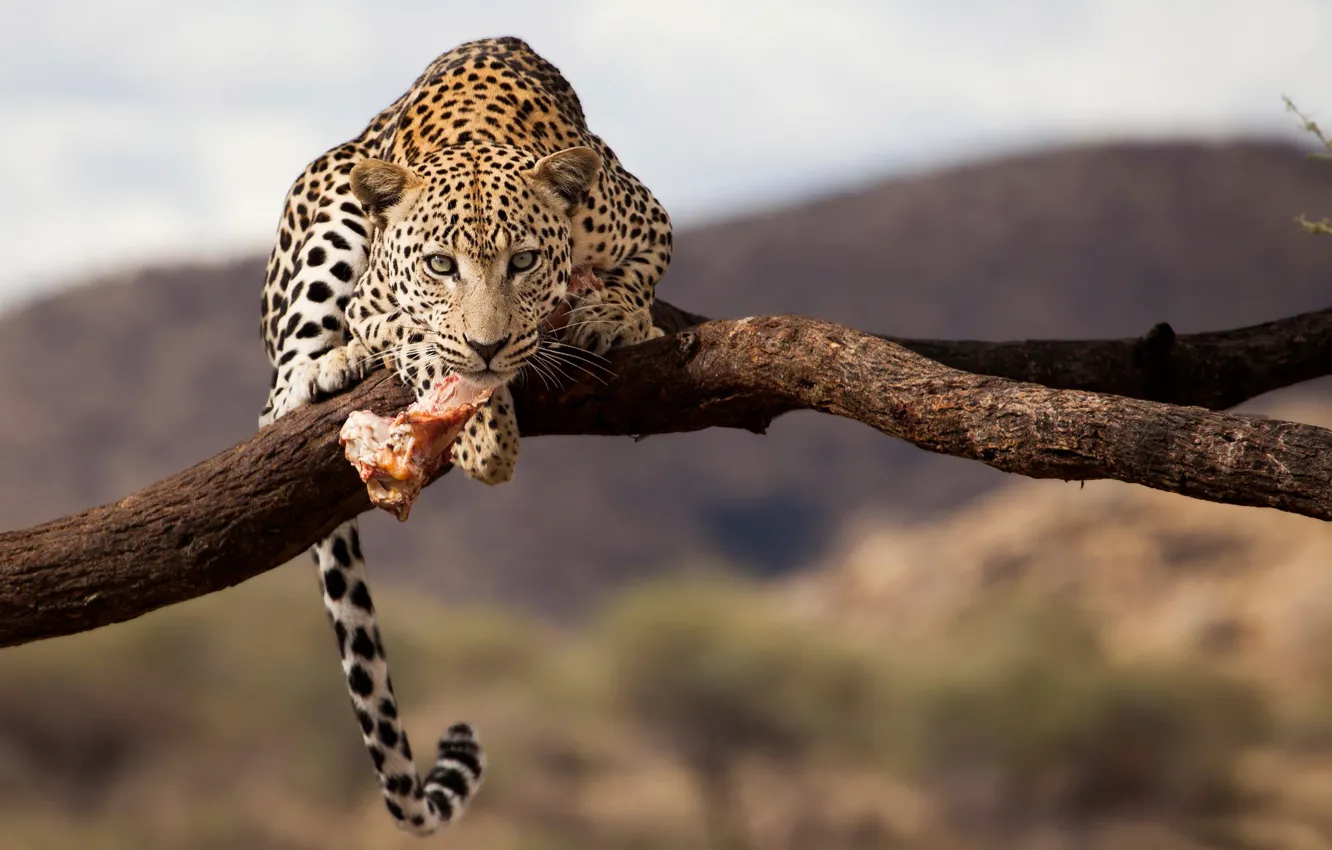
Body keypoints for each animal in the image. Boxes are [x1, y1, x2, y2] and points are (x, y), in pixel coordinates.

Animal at [256, 36, 673, 836]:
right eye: (441, 265)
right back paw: (327, 369)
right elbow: (418, 340)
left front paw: (613, 315)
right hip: (329, 210)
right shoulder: (379, 305)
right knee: (275, 402)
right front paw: (482, 428)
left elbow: (637, 278)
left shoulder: (650, 223)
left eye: (525, 260)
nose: (490, 343)